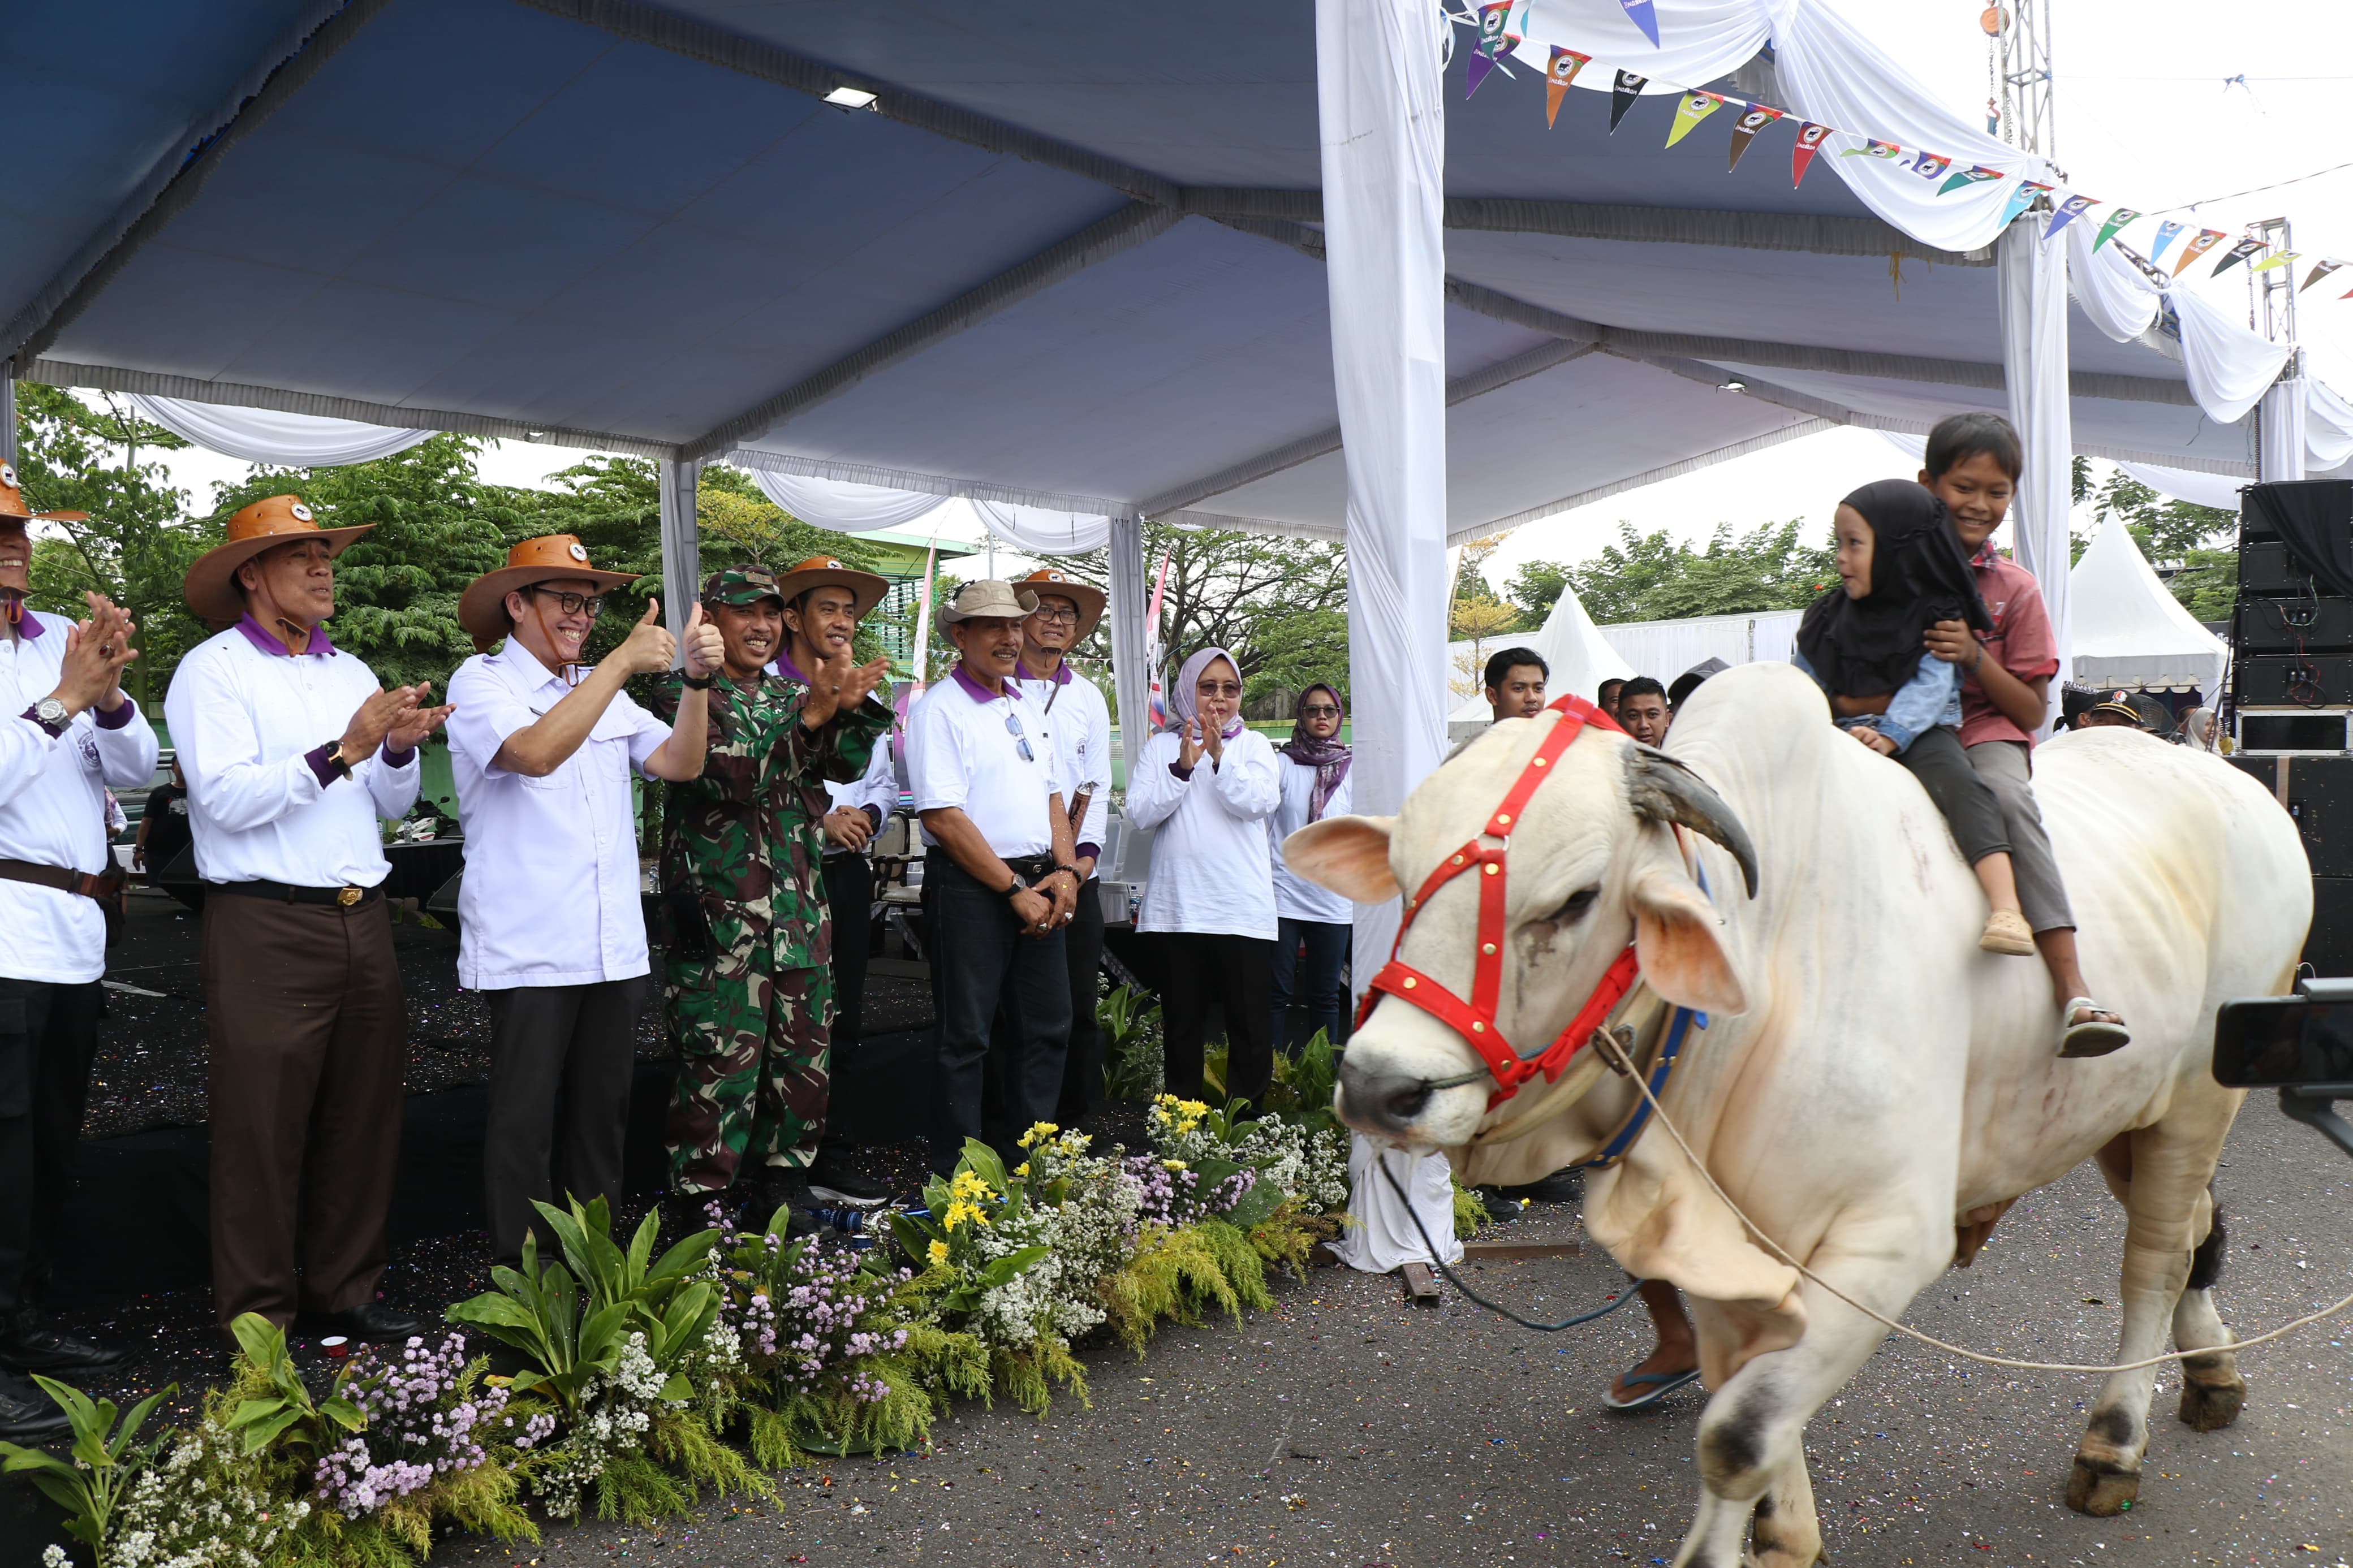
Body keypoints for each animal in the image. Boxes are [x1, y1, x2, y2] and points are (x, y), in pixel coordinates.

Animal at [1299, 663, 2305, 1568]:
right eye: (1402, 877)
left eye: (1575, 899)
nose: (1379, 1087)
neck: (1762, 974)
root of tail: (2239, 787)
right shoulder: (1720, 1249)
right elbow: (1745, 1401)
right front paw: (1788, 1539)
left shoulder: (1887, 1244)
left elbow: (1736, 1434)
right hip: (2125, 1113)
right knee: (2193, 1232)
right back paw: (2214, 1371)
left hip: (2200, 1097)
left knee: (2153, 1263)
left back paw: (2114, 1442)